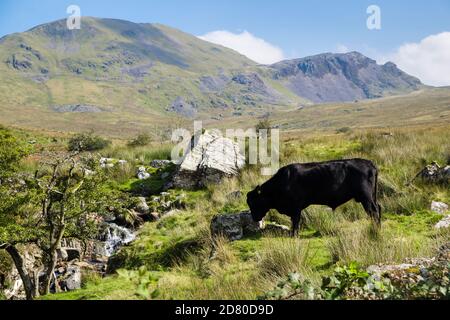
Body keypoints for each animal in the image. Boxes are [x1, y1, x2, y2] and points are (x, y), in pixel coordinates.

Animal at [248, 159, 382, 236]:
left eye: (254, 202)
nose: (254, 218)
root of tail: (369, 163)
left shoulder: (296, 208)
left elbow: (295, 222)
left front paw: (294, 235)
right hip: (371, 197)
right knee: (378, 209)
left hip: (366, 197)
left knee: (373, 212)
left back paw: (374, 229)